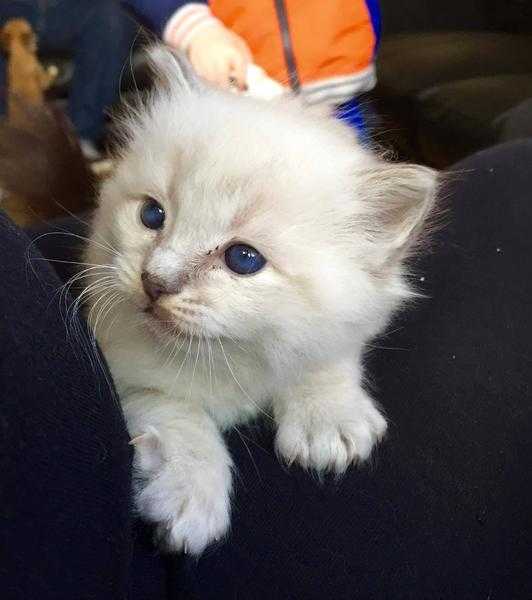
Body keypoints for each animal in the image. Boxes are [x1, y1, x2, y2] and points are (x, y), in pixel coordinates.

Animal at [84, 48, 436, 556]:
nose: (154, 282)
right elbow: (180, 417)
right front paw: (191, 497)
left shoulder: (344, 326)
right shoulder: (123, 367)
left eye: (243, 259)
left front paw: (328, 421)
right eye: (152, 215)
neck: (232, 357)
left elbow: (327, 355)